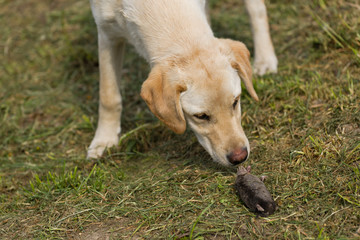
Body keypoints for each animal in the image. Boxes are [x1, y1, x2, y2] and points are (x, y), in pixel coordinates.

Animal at [87, 0, 278, 167]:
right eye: (201, 116)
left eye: (235, 102)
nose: (239, 157)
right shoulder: (106, 33)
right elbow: (108, 96)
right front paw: (104, 140)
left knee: (257, 10)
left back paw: (265, 59)